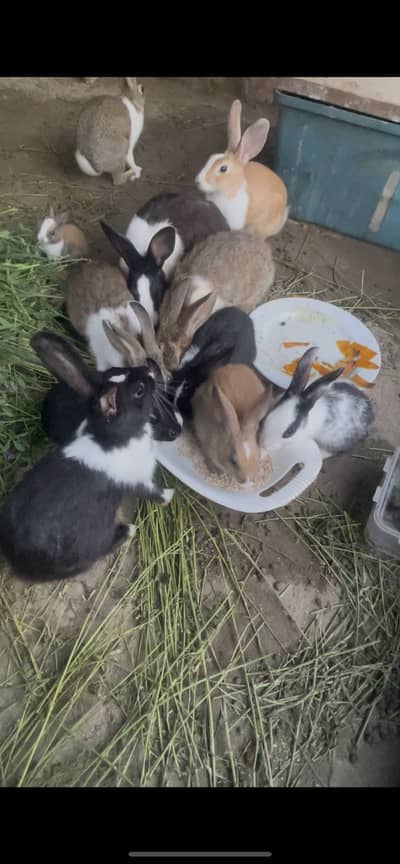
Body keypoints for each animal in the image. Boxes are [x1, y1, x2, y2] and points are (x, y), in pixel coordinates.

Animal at [0, 332, 175, 583]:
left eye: (117, 369)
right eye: (140, 390)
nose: (149, 368)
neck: (115, 435)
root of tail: (18, 562)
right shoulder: (138, 480)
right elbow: (156, 493)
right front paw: (171, 495)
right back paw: (128, 530)